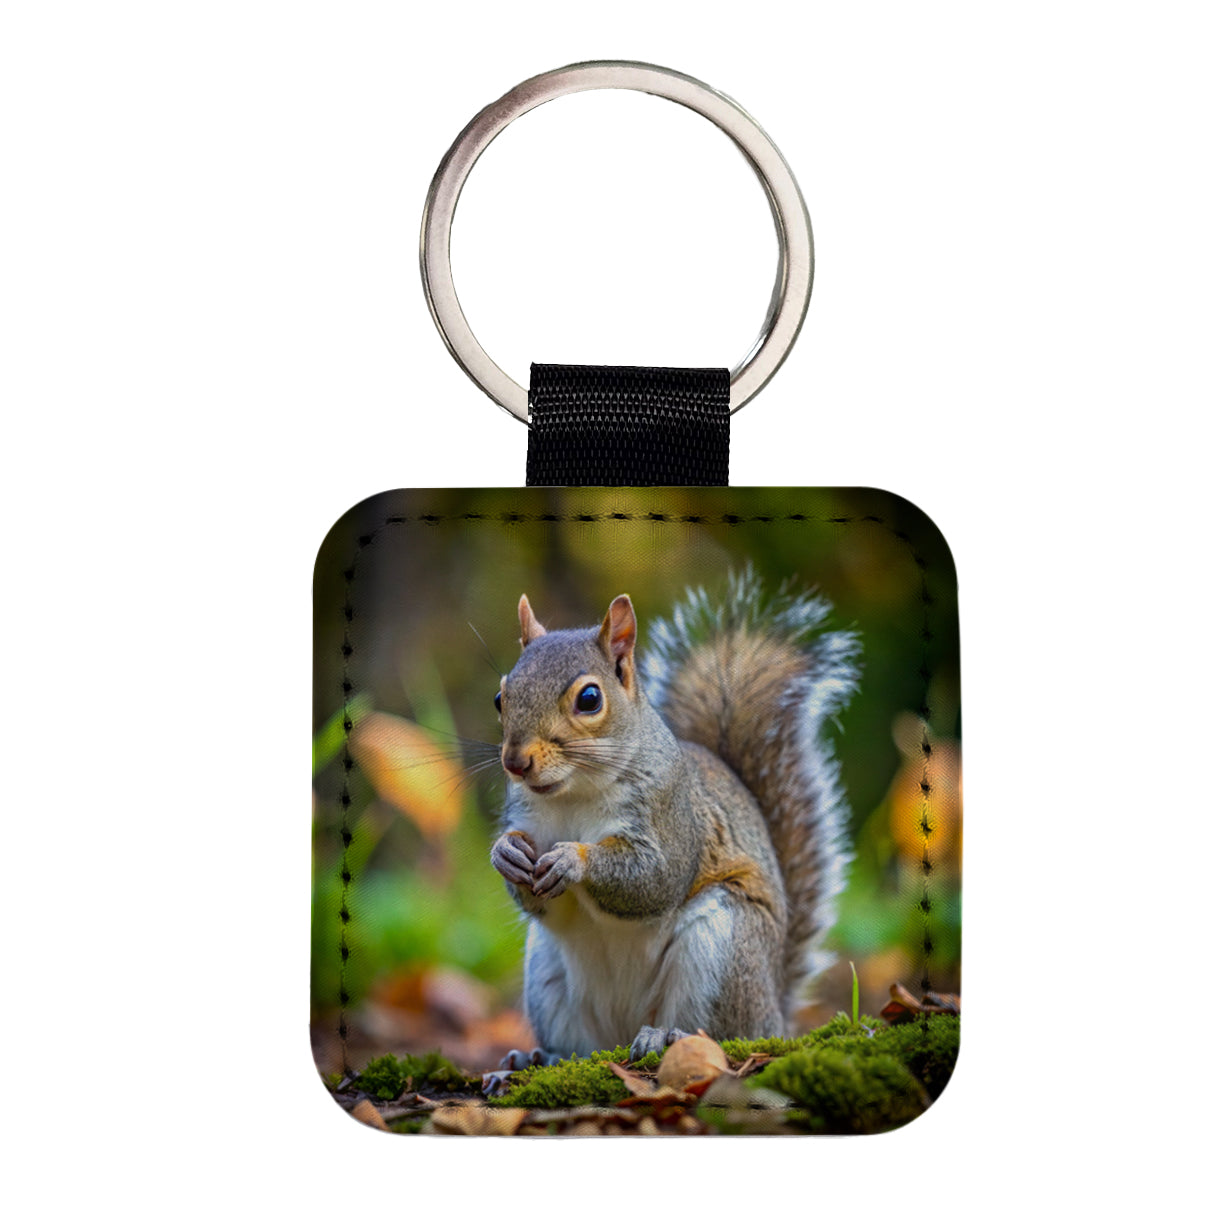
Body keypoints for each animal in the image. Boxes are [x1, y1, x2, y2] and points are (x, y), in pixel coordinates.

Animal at [489, 569, 859, 1066]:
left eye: (590, 699)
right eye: (500, 697)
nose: (515, 762)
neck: (573, 794)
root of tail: (775, 1015)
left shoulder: (672, 819)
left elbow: (655, 878)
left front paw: (574, 859)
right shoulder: (528, 820)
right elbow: (535, 897)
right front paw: (504, 852)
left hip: (722, 947)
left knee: (719, 1031)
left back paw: (665, 1037)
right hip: (546, 972)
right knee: (579, 1048)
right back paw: (536, 1059)